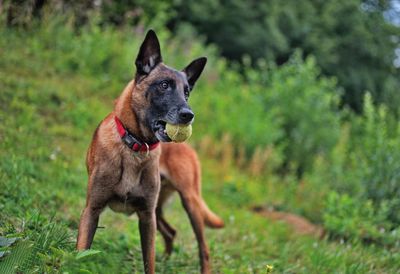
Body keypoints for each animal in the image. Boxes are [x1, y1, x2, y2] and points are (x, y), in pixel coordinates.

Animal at [76, 30, 223, 274]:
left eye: (187, 93)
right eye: (164, 85)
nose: (188, 115)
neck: (135, 146)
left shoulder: (146, 218)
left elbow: (149, 262)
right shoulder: (92, 210)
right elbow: (80, 253)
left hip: (189, 203)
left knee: (204, 249)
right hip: (160, 210)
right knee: (171, 232)